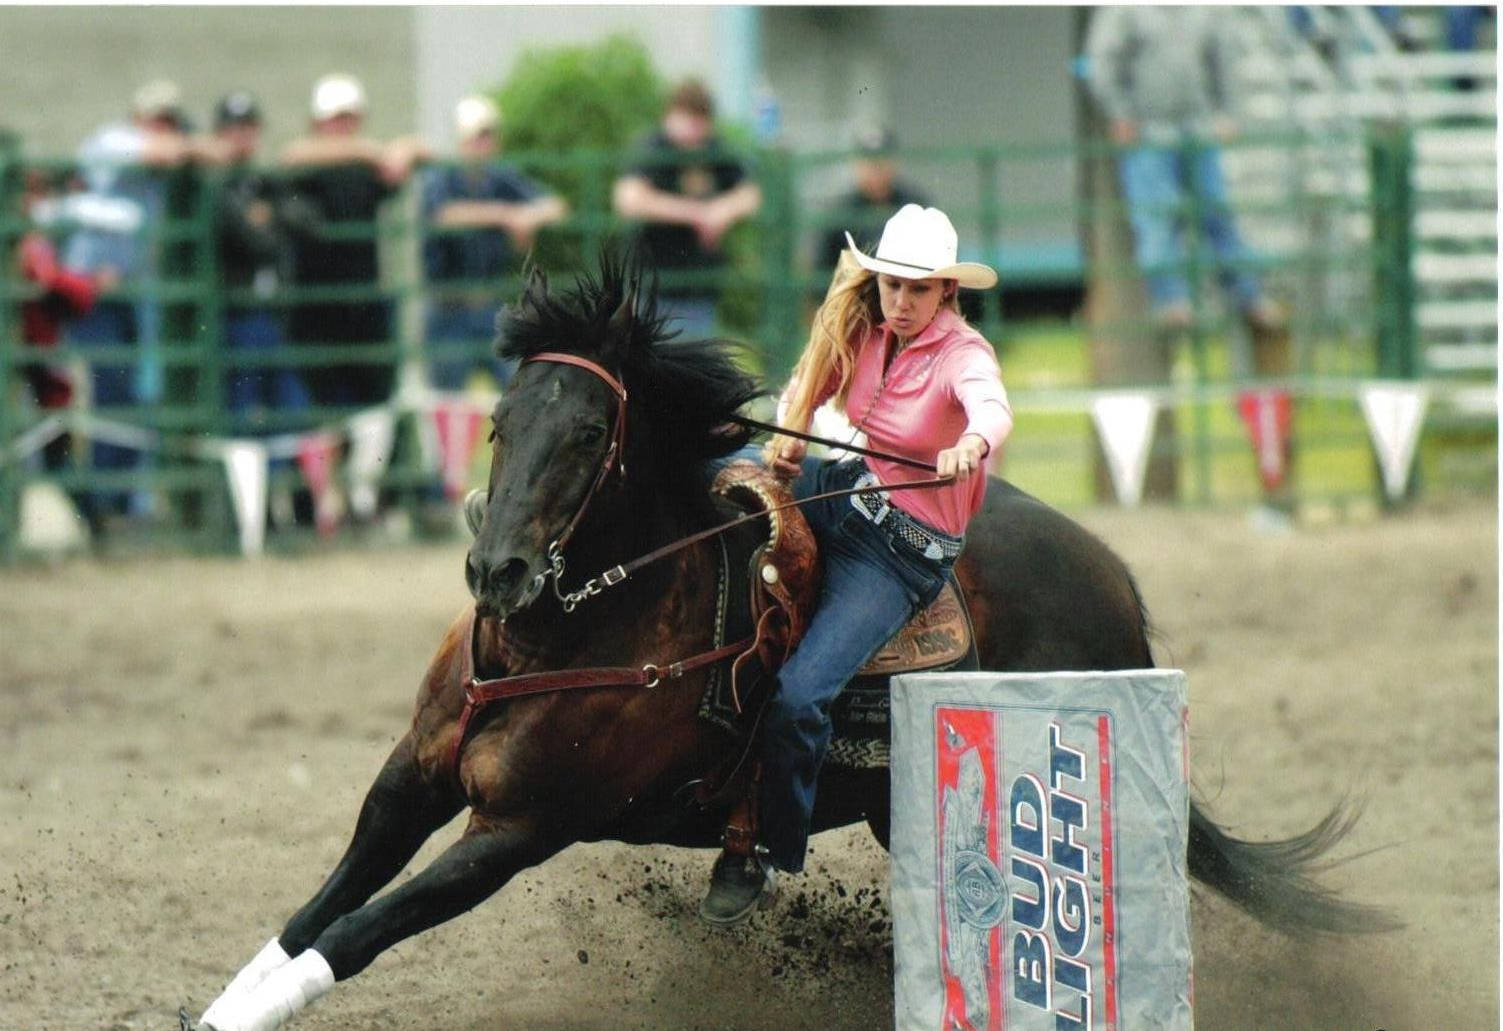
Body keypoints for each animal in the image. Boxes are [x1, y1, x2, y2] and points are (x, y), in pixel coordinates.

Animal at [188, 253, 1393, 1031]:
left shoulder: (519, 827)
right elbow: (312, 913)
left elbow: (361, 930)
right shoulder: (412, 776)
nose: (500, 573)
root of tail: (1111, 577)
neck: (574, 633)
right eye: (498, 423)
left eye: (588, 434)